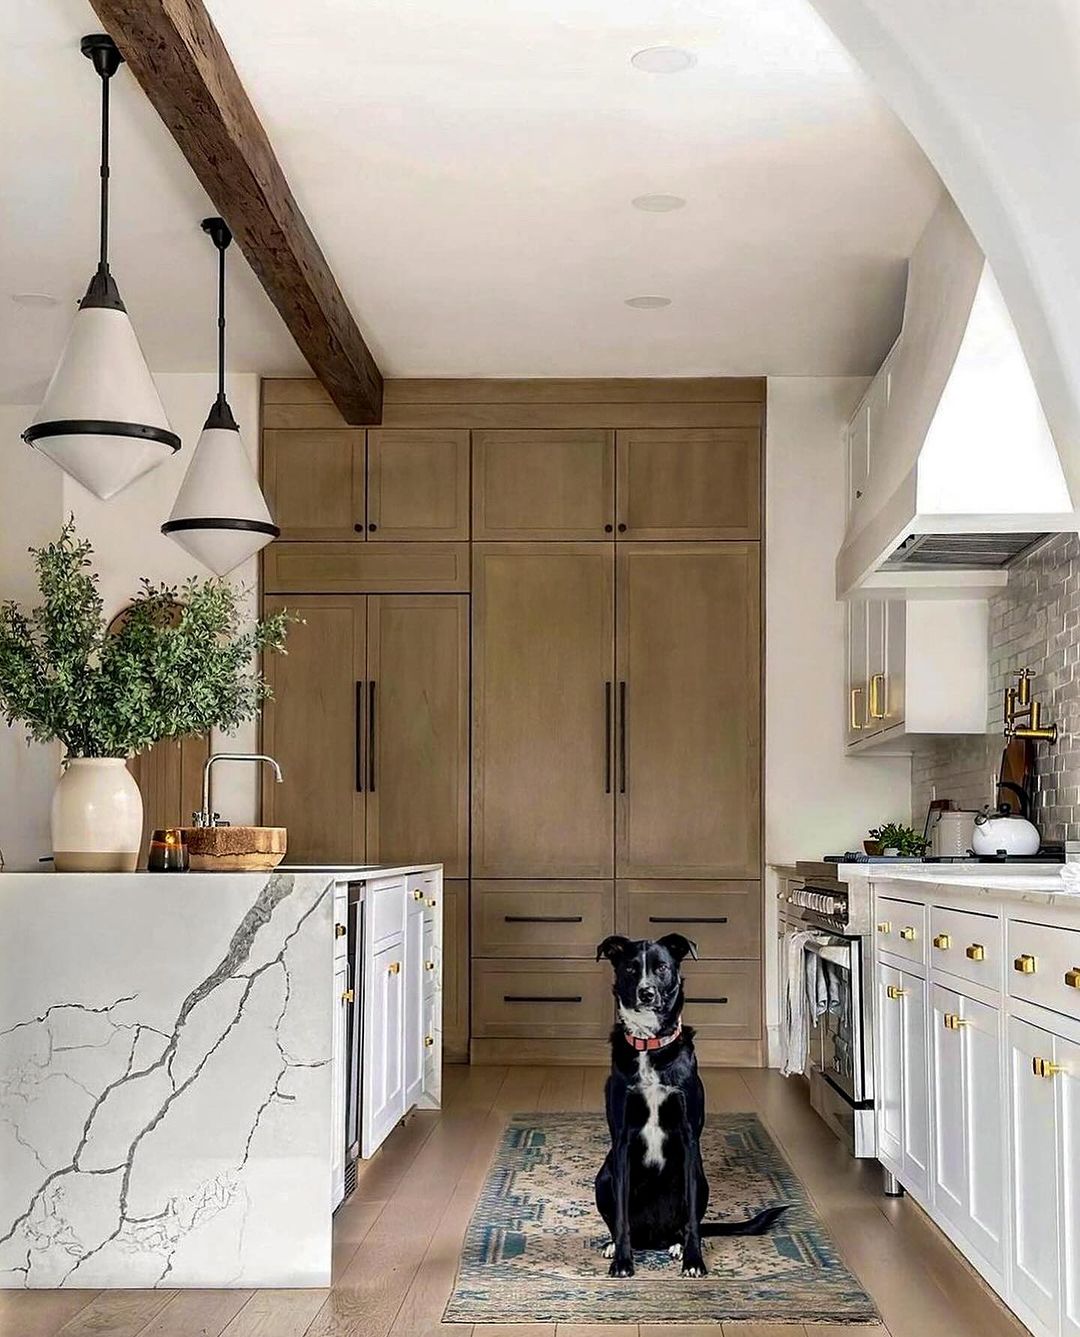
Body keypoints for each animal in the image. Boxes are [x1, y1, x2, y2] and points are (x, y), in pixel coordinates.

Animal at [596, 935, 791, 1278]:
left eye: (661, 967)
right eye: (631, 968)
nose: (647, 993)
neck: (649, 1046)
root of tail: (654, 1237)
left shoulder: (689, 1139)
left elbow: (691, 1223)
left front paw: (694, 1261)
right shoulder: (621, 1142)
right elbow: (620, 1216)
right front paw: (622, 1261)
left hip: (701, 1179)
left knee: (687, 1224)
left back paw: (678, 1245)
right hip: (603, 1177)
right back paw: (614, 1245)